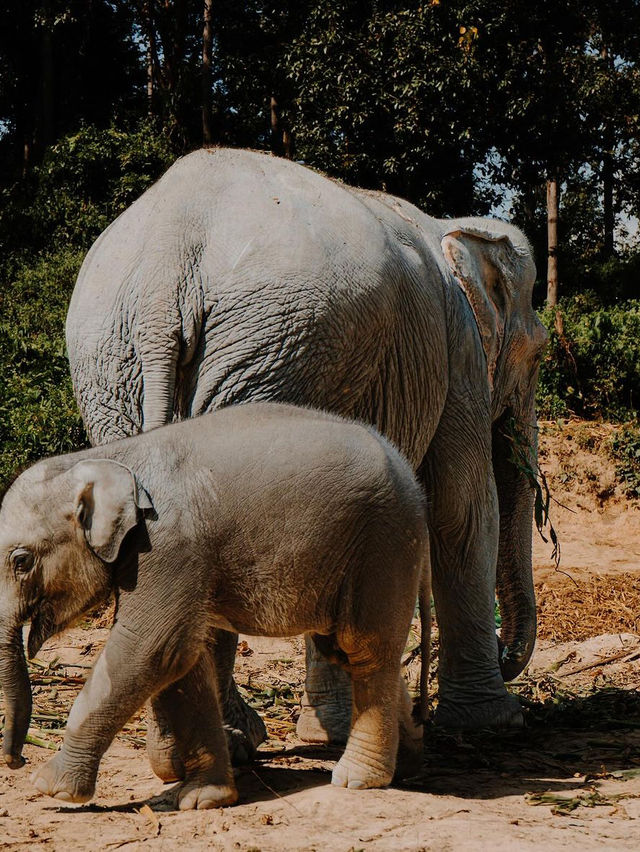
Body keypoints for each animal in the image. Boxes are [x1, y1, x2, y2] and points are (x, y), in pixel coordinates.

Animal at [1, 402, 430, 808]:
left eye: (21, 560)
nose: (16, 760)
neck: (109, 458)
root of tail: (410, 476)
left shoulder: (167, 548)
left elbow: (152, 648)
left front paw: (51, 788)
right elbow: (184, 662)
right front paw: (201, 798)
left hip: (383, 545)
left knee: (365, 649)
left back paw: (358, 779)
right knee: (344, 650)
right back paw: (408, 761)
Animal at [63, 146, 544, 760]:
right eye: (539, 355)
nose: (510, 659)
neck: (455, 230)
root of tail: (164, 270)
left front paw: (327, 734)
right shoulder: (457, 353)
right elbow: (461, 508)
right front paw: (497, 724)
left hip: (121, 365)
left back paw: (204, 748)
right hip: (274, 356)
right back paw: (221, 748)